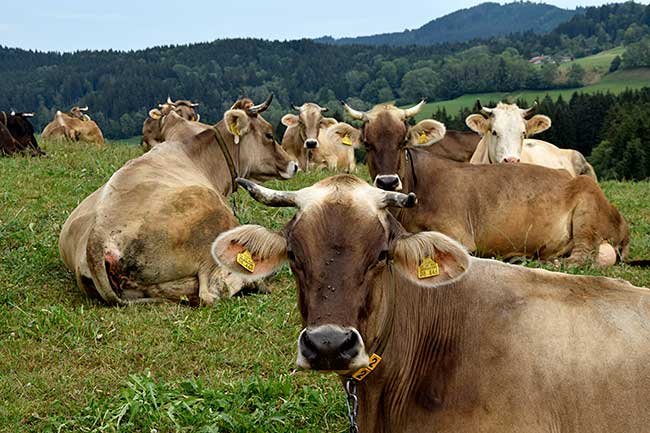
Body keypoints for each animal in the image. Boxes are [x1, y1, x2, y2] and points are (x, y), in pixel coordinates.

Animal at [59, 95, 298, 304]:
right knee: (210, 292)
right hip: (213, 222)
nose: (294, 165)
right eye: (269, 135)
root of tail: (97, 237)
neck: (198, 156)